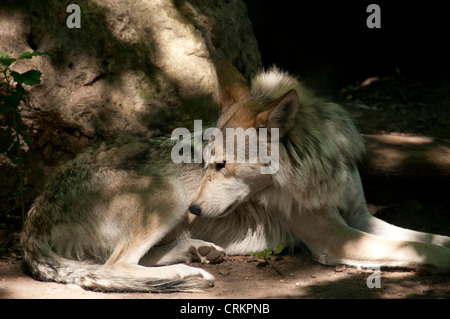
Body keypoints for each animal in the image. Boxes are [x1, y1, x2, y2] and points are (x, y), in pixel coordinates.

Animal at [21, 60, 450, 292]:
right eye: (206, 161)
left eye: (221, 165)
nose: (196, 210)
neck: (316, 164)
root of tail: (33, 216)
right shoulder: (334, 237)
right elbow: (416, 248)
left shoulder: (359, 216)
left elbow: (423, 238)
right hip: (170, 195)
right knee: (111, 268)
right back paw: (187, 269)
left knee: (127, 261)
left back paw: (197, 251)